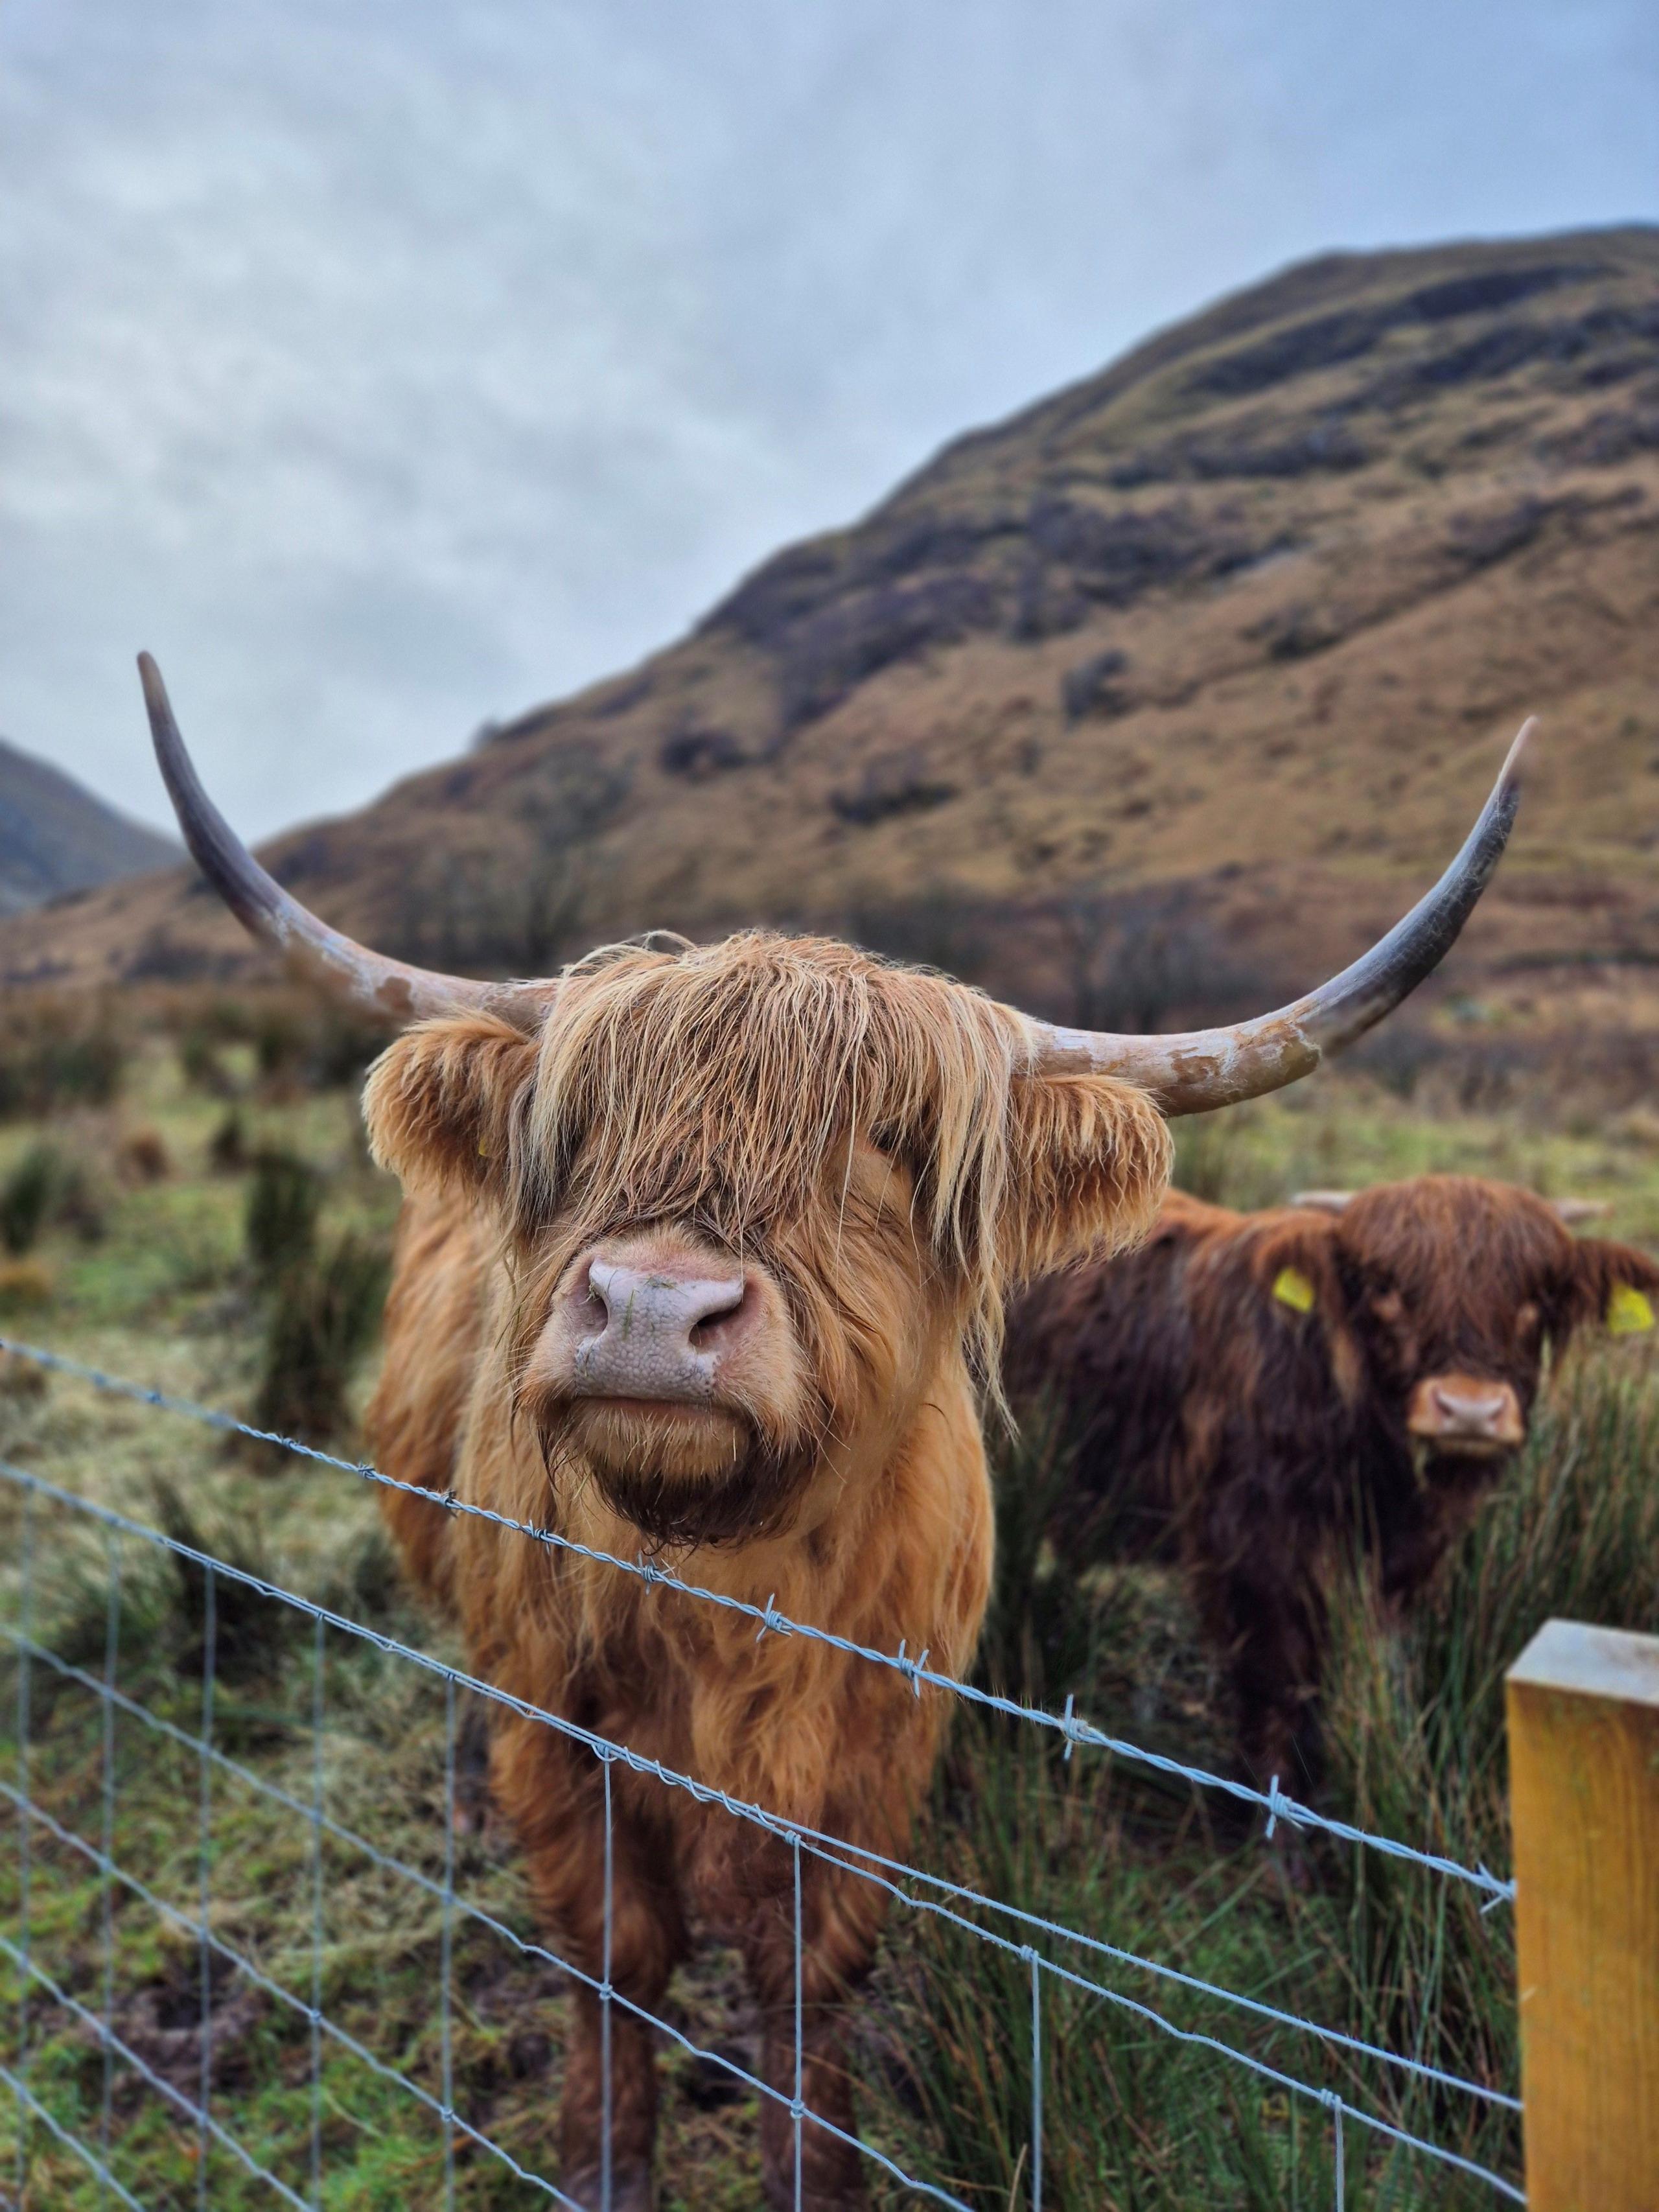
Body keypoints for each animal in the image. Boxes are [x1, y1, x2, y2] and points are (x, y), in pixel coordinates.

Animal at [1008, 1185, 1654, 1787]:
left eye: (1537, 1299)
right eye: (1384, 1289)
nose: (1469, 1409)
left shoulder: (1400, 1570)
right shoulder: (1254, 1556)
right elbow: (1277, 1691)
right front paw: (1274, 1823)